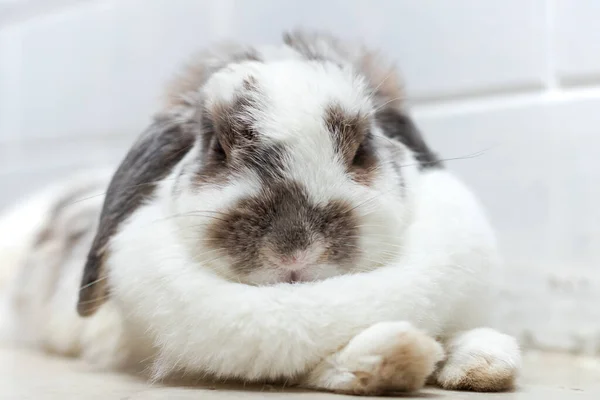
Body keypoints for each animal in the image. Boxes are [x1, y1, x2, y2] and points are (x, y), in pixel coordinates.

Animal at [0, 29, 516, 396]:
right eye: (218, 148)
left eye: (360, 150)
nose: (295, 250)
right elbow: (302, 362)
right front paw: (397, 354)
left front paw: (485, 362)